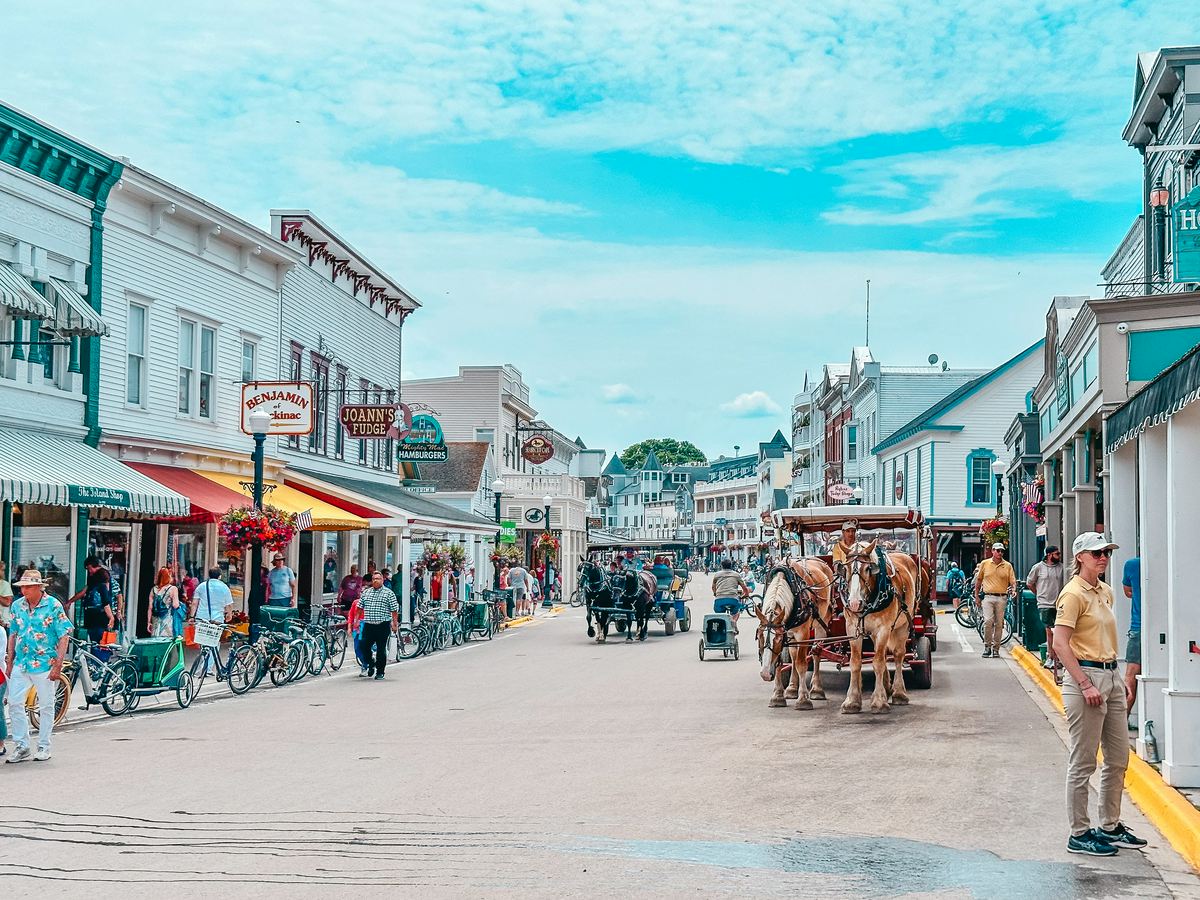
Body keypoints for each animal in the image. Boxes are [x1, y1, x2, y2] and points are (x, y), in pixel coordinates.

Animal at [748, 556, 835, 710]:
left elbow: (801, 663)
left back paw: (817, 689)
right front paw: (778, 696)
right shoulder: (785, 631)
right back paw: (792, 688)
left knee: (816, 653)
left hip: (822, 623)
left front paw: (803, 699)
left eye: (777, 639)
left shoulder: (802, 634)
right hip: (791, 634)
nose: (765, 674)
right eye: (759, 637)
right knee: (793, 656)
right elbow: (780, 663)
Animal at [844, 540, 916, 715]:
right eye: (845, 568)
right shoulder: (852, 628)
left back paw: (898, 693)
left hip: (903, 624)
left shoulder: (884, 628)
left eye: (868, 569)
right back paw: (885, 688)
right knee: (882, 654)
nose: (854, 603)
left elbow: (877, 662)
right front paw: (852, 701)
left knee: (897, 655)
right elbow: (855, 662)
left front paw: (878, 701)